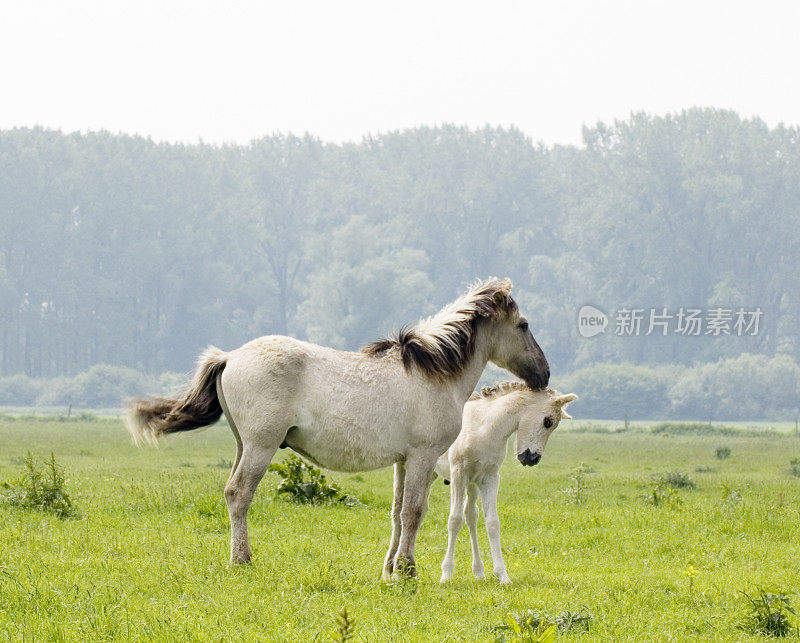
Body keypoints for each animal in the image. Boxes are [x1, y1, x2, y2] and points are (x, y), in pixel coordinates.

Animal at [126, 276, 552, 580]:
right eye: (523, 325)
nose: (544, 374)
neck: (433, 373)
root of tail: (230, 356)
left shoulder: (403, 461)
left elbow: (397, 512)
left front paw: (390, 568)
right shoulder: (423, 456)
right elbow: (415, 511)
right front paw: (408, 570)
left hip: (242, 446)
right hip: (261, 447)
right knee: (238, 494)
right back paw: (241, 560)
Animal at [434, 384, 580, 588]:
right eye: (548, 421)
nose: (532, 459)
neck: (482, 427)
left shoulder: (489, 478)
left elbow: (492, 523)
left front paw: (502, 576)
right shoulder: (458, 475)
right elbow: (454, 520)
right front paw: (446, 575)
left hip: (472, 485)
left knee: (471, 515)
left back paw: (478, 571)